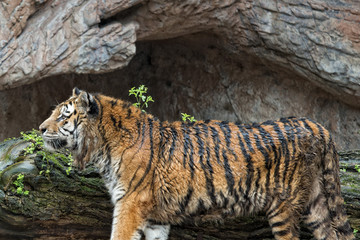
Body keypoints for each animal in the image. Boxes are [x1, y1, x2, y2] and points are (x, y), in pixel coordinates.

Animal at [39, 88, 354, 240]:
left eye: (63, 116)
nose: (40, 129)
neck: (102, 147)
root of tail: (315, 125)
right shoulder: (155, 218)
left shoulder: (129, 204)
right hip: (316, 204)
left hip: (284, 207)